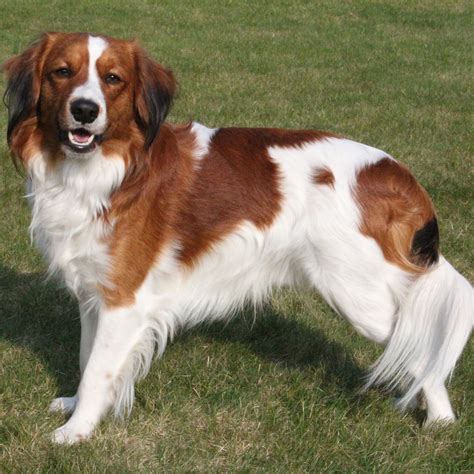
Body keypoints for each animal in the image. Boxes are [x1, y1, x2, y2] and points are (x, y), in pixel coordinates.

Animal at [3, 32, 472, 444]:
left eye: (113, 79)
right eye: (62, 72)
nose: (84, 110)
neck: (107, 171)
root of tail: (395, 172)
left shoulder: (124, 302)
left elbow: (98, 370)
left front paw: (76, 432)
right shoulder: (95, 295)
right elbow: (88, 359)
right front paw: (76, 405)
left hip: (359, 297)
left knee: (417, 343)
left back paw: (440, 420)